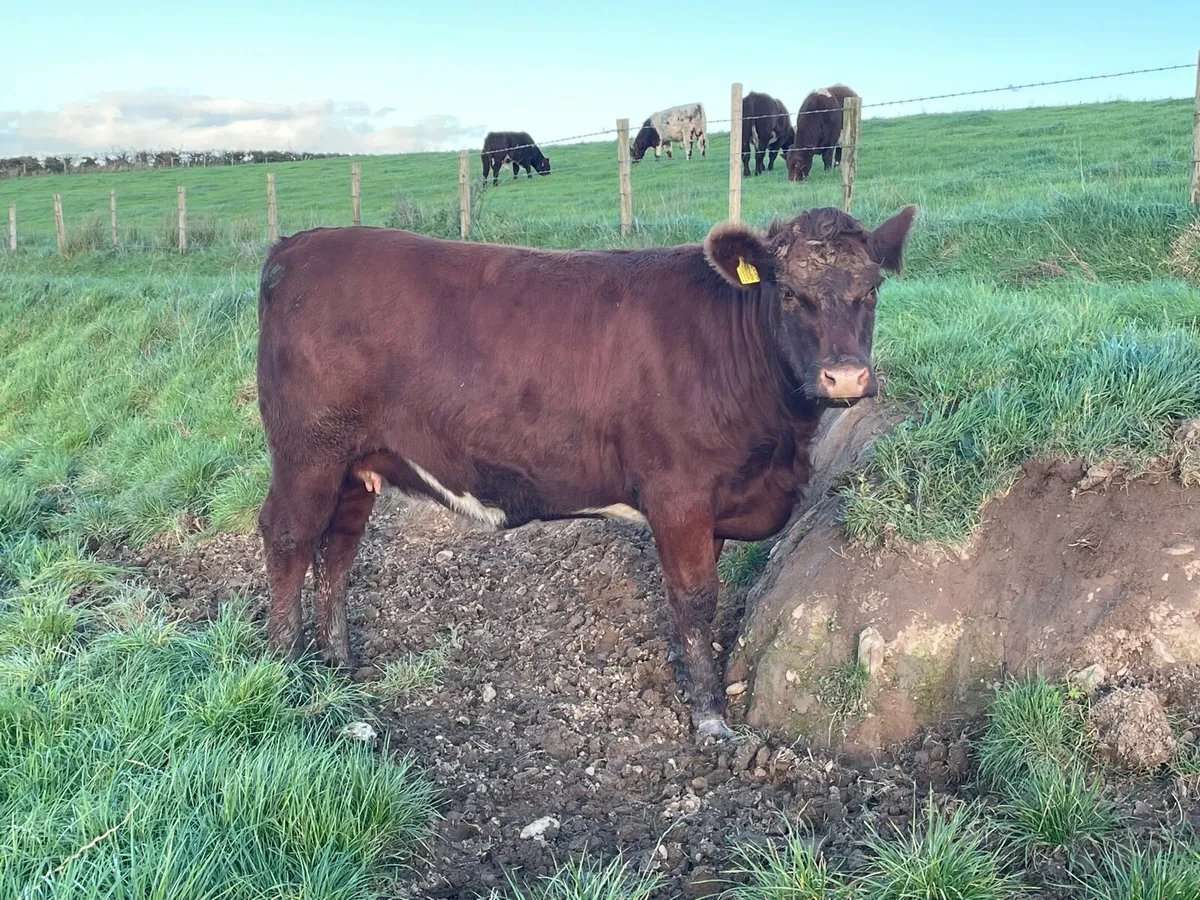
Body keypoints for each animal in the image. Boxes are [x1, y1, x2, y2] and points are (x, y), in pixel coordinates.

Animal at [255, 204, 917, 739]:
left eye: (873, 290)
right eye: (788, 294)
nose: (845, 377)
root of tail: (297, 245)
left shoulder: (712, 502)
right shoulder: (677, 493)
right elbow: (695, 597)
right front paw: (710, 718)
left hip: (354, 465)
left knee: (338, 548)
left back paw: (340, 664)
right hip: (307, 452)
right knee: (289, 537)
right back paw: (284, 669)